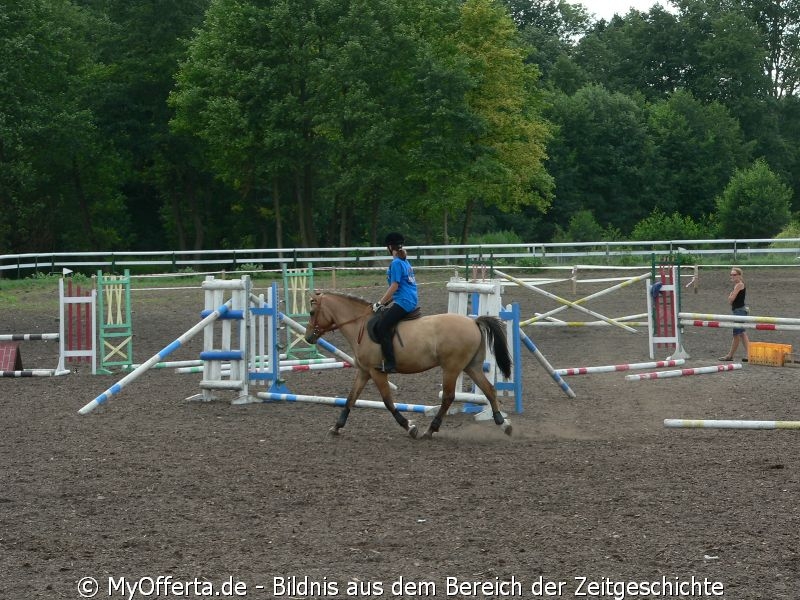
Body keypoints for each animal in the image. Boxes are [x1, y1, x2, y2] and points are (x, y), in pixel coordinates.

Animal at [300, 292, 512, 440]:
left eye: (312, 312)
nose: (308, 337)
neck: (359, 325)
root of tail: (473, 321)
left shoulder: (377, 372)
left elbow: (387, 401)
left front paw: (410, 427)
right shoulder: (364, 371)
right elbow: (350, 398)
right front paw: (336, 427)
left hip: (451, 368)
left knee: (449, 397)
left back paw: (430, 430)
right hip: (471, 367)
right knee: (489, 390)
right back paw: (503, 424)